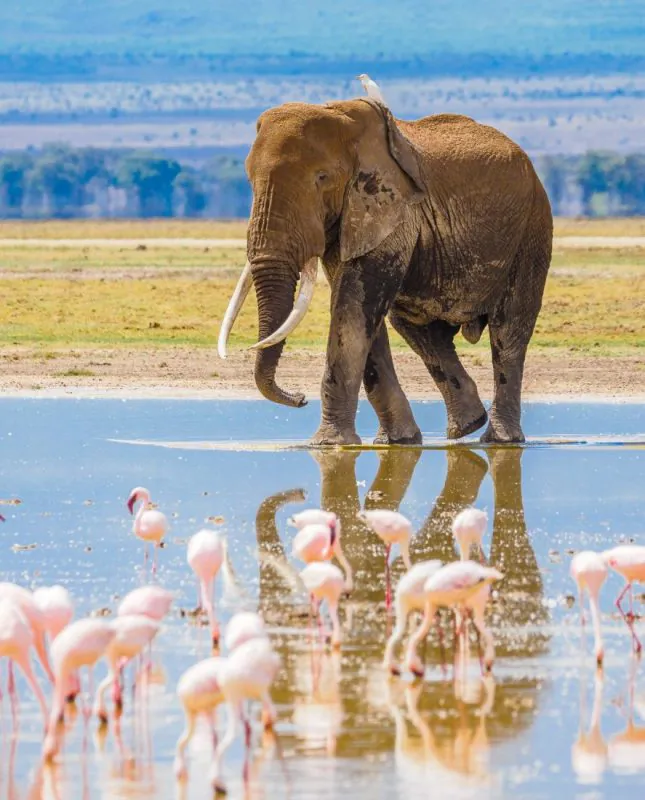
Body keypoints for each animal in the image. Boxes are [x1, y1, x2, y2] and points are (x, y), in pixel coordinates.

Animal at [219, 97, 553, 445]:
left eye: (322, 177)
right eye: (248, 180)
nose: (299, 398)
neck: (340, 115)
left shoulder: (391, 210)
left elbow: (353, 307)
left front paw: (329, 444)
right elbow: (359, 310)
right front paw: (396, 442)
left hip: (532, 226)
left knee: (508, 330)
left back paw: (500, 440)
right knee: (417, 328)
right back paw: (465, 427)